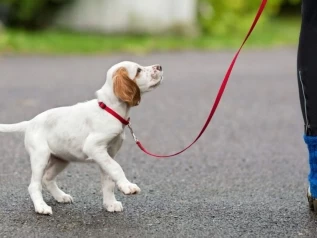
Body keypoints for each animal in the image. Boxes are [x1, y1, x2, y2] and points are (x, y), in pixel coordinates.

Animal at [0, 60, 163, 215]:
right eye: (138, 70)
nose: (160, 67)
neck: (110, 110)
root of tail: (30, 123)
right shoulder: (94, 147)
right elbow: (116, 168)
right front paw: (127, 186)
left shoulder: (107, 154)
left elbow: (108, 180)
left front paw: (110, 204)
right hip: (40, 156)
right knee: (34, 185)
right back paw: (41, 207)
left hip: (61, 159)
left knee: (47, 178)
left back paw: (61, 196)